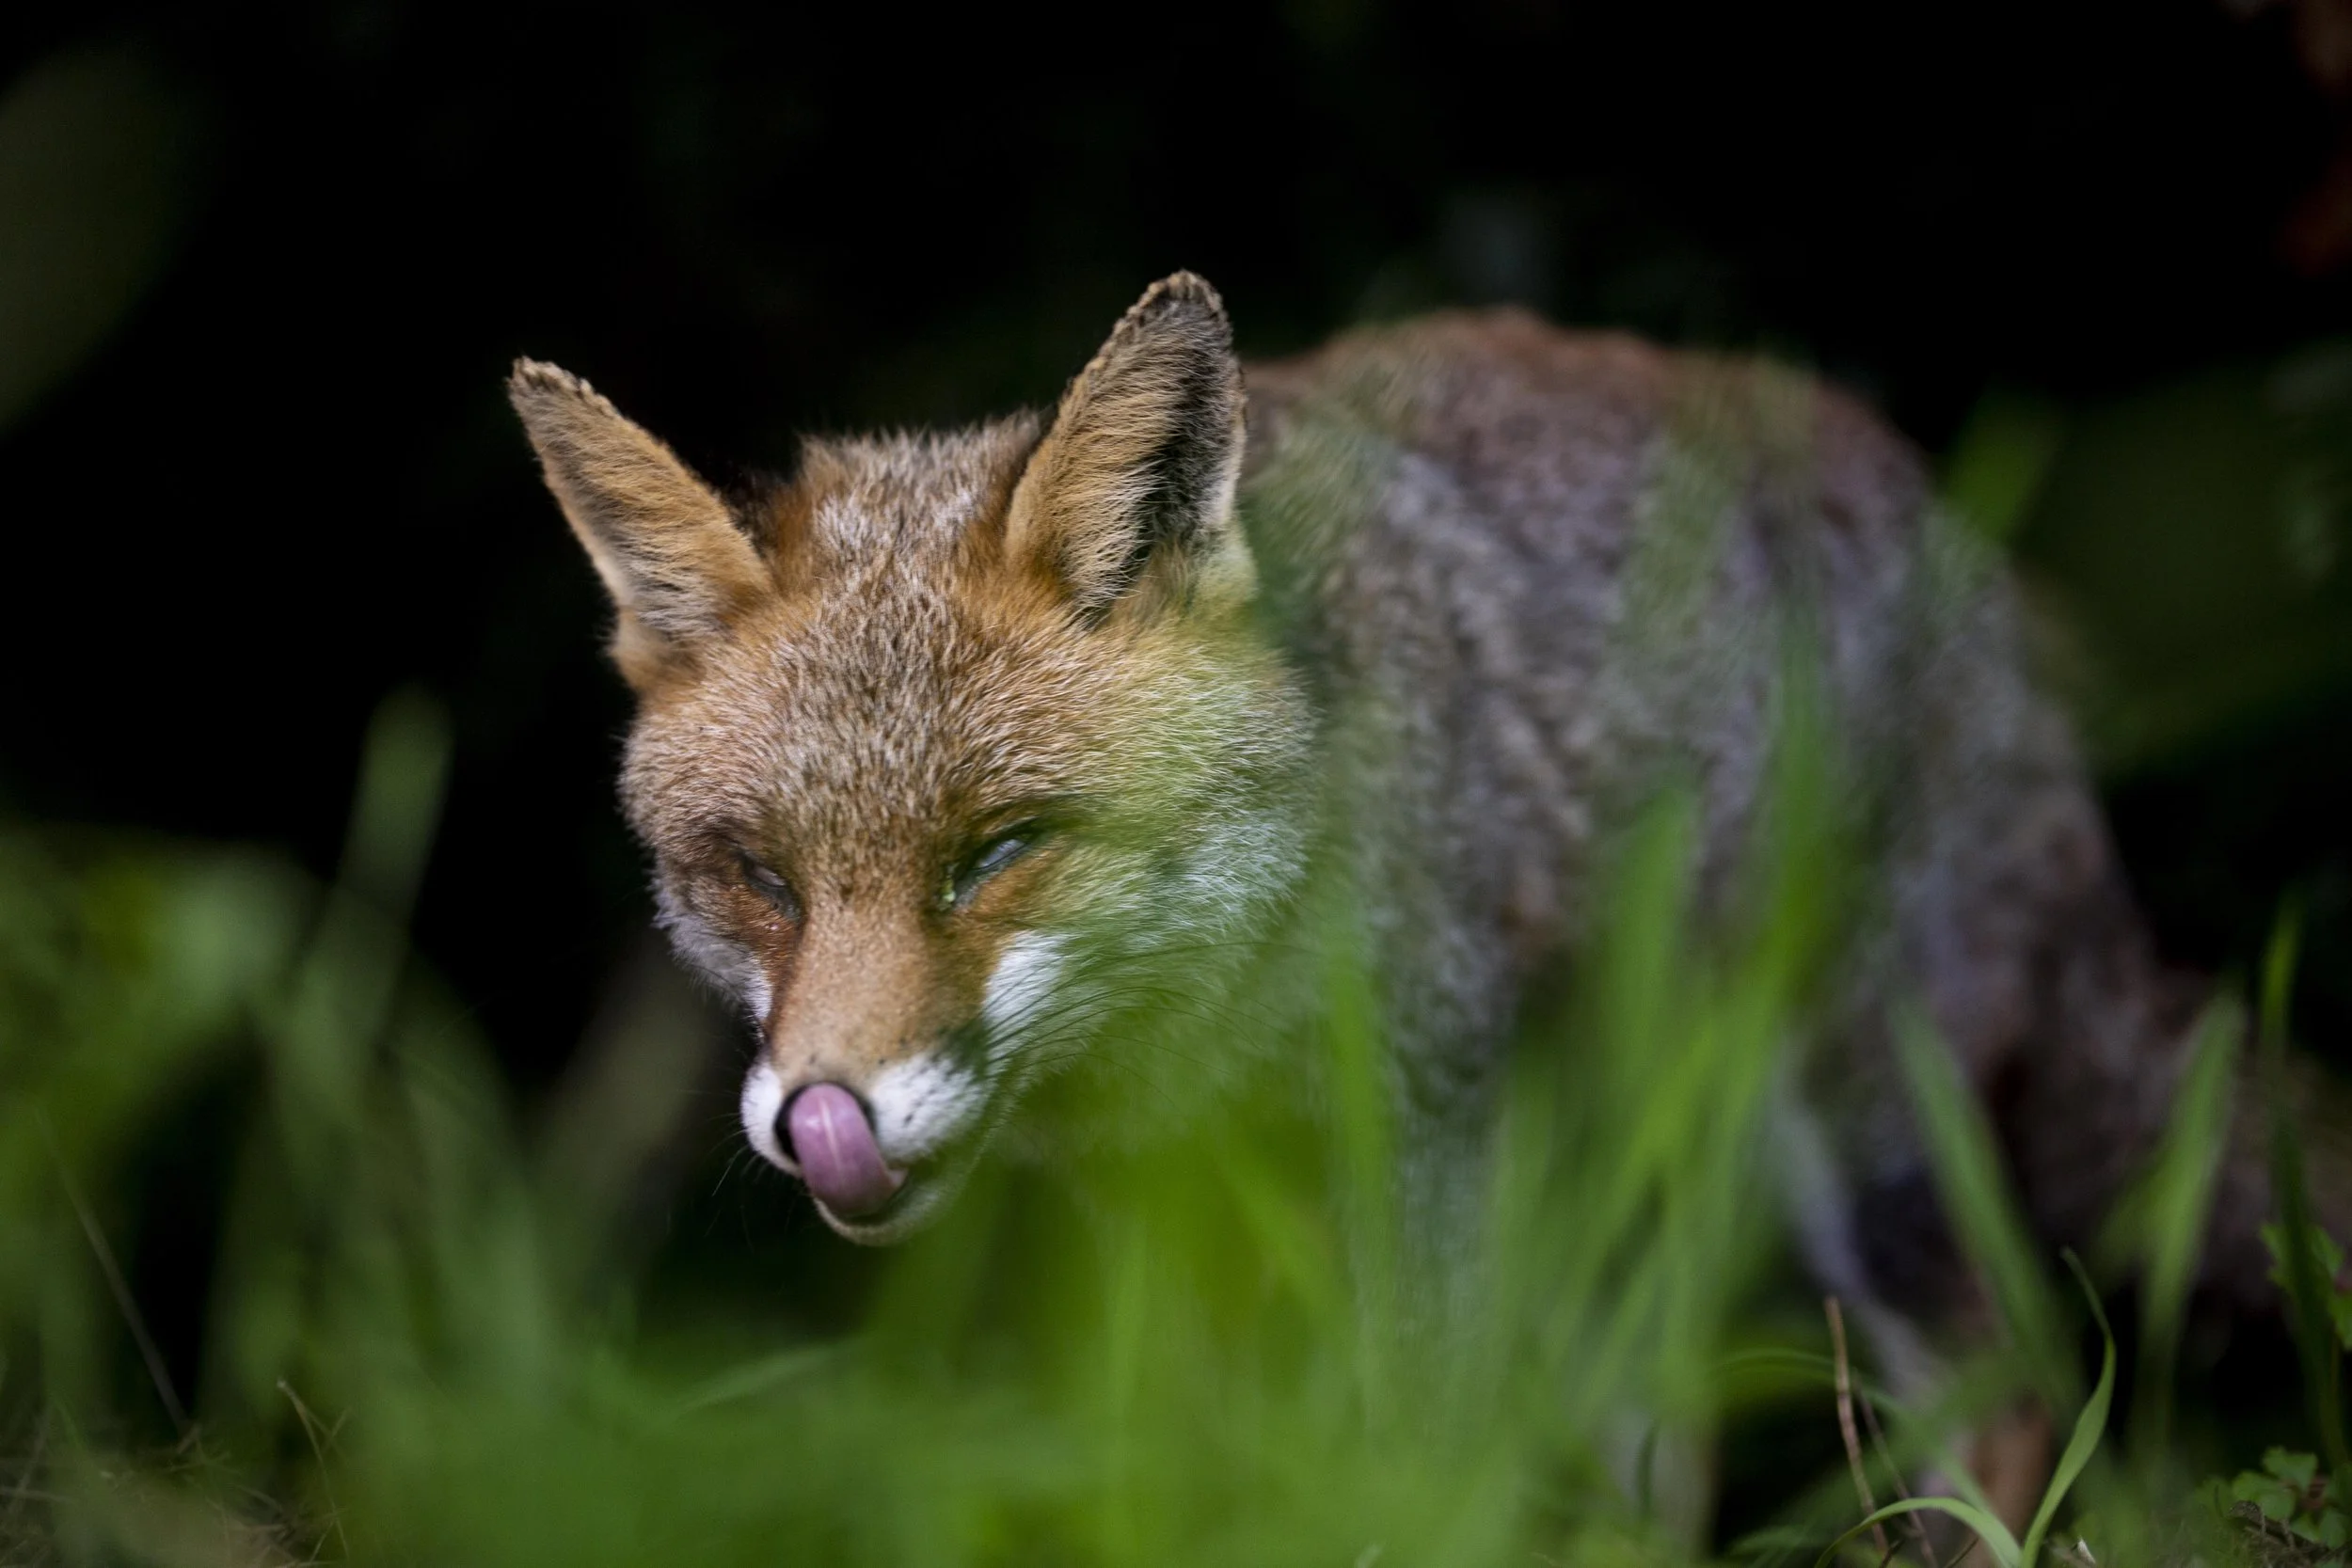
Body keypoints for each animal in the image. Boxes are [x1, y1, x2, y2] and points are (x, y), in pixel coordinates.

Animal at [510, 274, 2346, 1488]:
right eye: (759, 874)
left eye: (1000, 851)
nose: (822, 1113)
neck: (1219, 1007)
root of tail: (1976, 567)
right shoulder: (1162, 1213)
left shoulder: (1433, 1137)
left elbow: (1418, 1447)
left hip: (1856, 1134)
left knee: (2011, 1389)